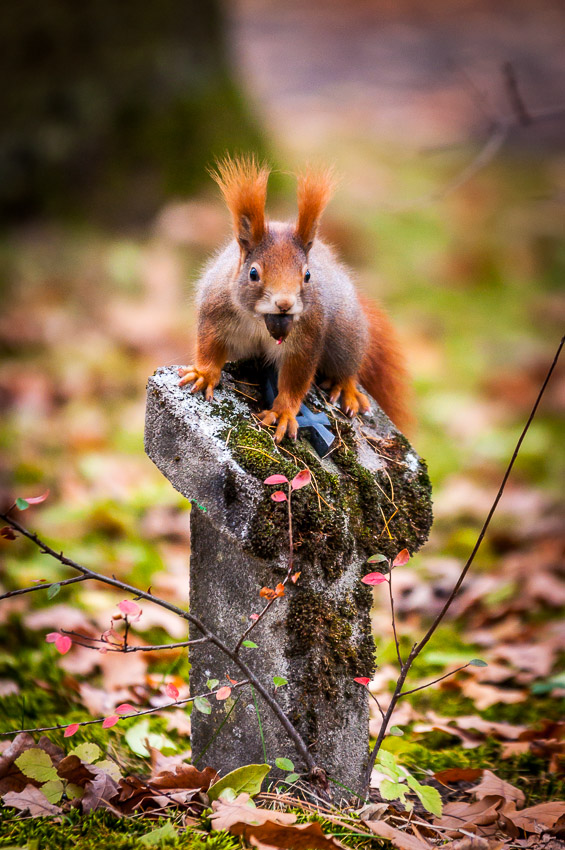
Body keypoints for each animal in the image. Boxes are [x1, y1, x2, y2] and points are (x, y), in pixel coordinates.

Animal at [179, 155, 410, 443]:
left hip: (346, 335)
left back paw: (347, 387)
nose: (284, 304)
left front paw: (283, 413)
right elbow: (208, 345)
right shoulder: (215, 310)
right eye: (253, 273)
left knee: (348, 365)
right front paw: (204, 373)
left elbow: (295, 380)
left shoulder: (307, 339)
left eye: (307, 275)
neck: (262, 322)